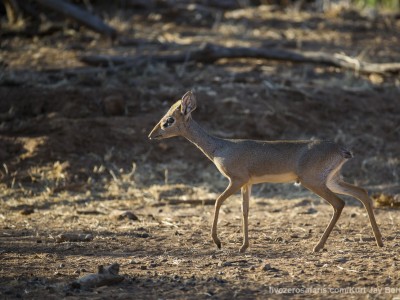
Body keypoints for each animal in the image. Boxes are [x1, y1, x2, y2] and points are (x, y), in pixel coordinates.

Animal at [148, 90, 382, 252]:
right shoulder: (248, 184)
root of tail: (341, 149)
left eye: (168, 120)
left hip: (313, 182)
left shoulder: (236, 180)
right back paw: (379, 242)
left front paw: (218, 242)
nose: (152, 135)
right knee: (362, 193)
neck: (220, 147)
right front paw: (243, 246)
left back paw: (318, 246)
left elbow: (217, 201)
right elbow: (245, 210)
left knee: (339, 203)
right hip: (332, 180)